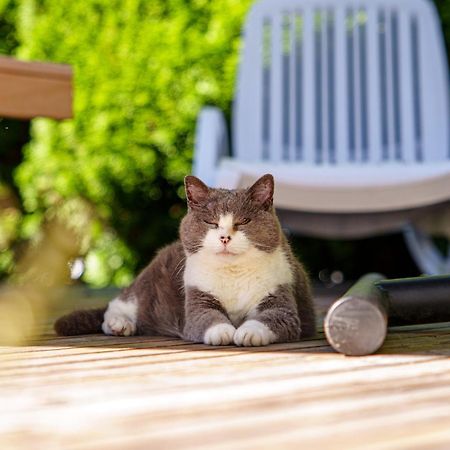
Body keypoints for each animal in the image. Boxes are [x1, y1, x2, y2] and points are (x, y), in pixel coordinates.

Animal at [55, 174, 316, 346]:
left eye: (243, 222)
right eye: (211, 222)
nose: (224, 237)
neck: (232, 273)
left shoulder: (281, 296)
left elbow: (273, 317)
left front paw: (247, 332)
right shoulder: (197, 297)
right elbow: (207, 318)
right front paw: (224, 332)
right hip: (145, 284)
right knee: (117, 305)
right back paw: (120, 324)